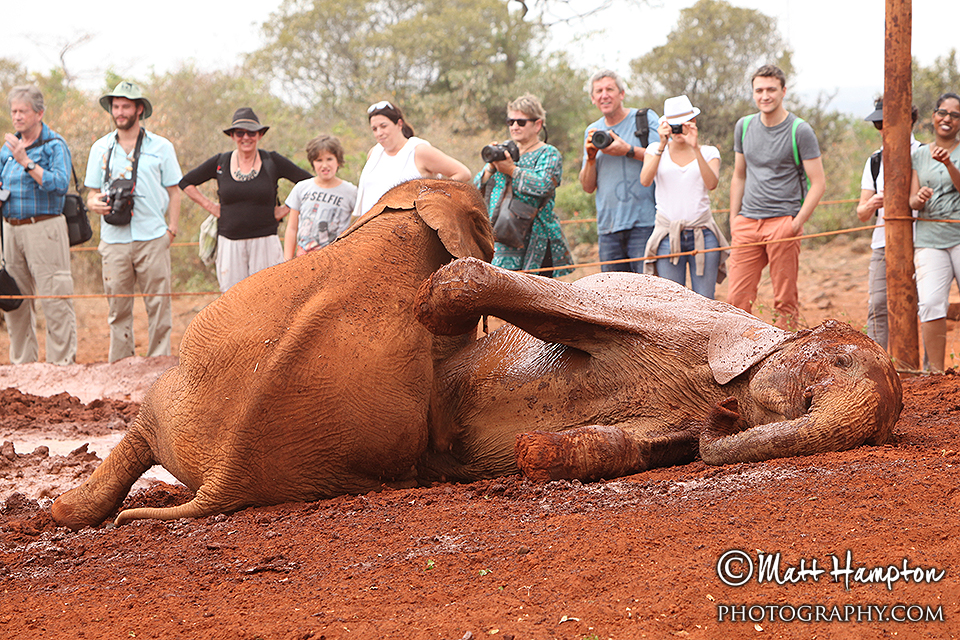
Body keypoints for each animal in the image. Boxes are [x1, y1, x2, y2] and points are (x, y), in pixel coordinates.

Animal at [413, 257, 903, 484]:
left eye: (875, 438)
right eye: (840, 361)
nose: (726, 413)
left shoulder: (678, 421)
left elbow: (624, 446)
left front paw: (532, 450)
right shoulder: (671, 322)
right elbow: (557, 304)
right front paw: (432, 303)